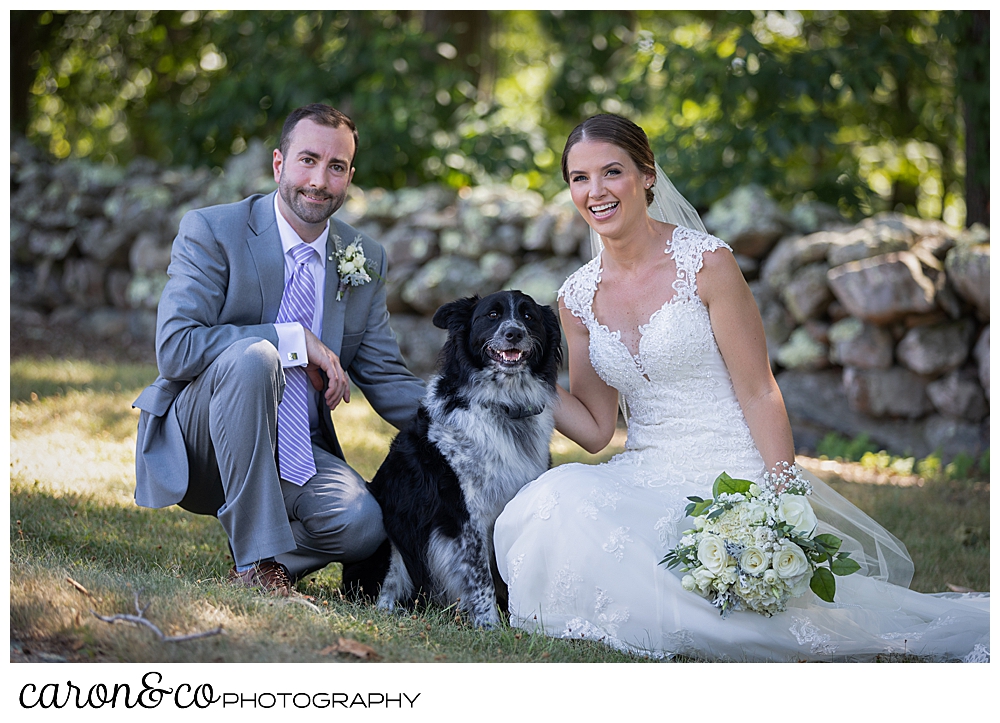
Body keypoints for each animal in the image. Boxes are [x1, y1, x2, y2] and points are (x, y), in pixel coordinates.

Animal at [372, 288, 564, 628]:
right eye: (492, 315)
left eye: (529, 316)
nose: (514, 333)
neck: (503, 407)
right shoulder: (467, 514)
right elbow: (480, 575)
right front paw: (489, 625)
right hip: (393, 541)